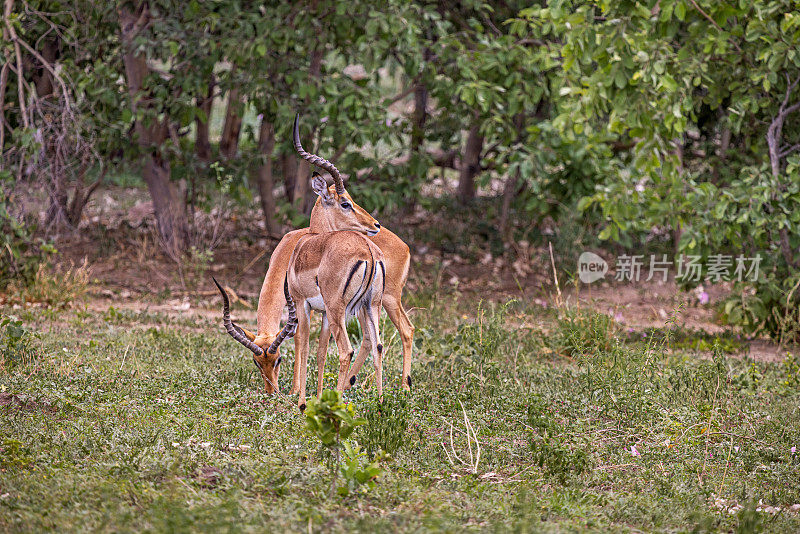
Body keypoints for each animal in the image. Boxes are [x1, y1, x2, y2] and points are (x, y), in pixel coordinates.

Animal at [216, 115, 416, 400]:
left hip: (378, 301)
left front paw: (296, 392)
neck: (292, 251)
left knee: (396, 333)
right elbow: (320, 350)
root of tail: (401, 246)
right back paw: (370, 394)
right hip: (368, 305)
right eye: (257, 362)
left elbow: (302, 343)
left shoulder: (301, 305)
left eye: (278, 359)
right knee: (373, 342)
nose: (271, 392)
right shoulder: (320, 311)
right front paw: (316, 391)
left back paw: (400, 387)